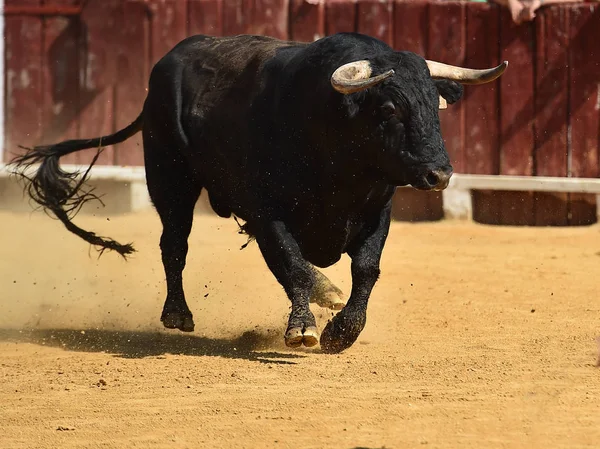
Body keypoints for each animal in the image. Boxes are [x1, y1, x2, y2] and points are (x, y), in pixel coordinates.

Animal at [10, 33, 506, 352]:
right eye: (387, 109)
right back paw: (178, 314)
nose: (439, 175)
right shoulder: (269, 214)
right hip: (170, 181)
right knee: (175, 244)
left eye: (435, 108)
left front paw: (342, 330)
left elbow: (365, 269)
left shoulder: (376, 212)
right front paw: (304, 328)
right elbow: (294, 267)